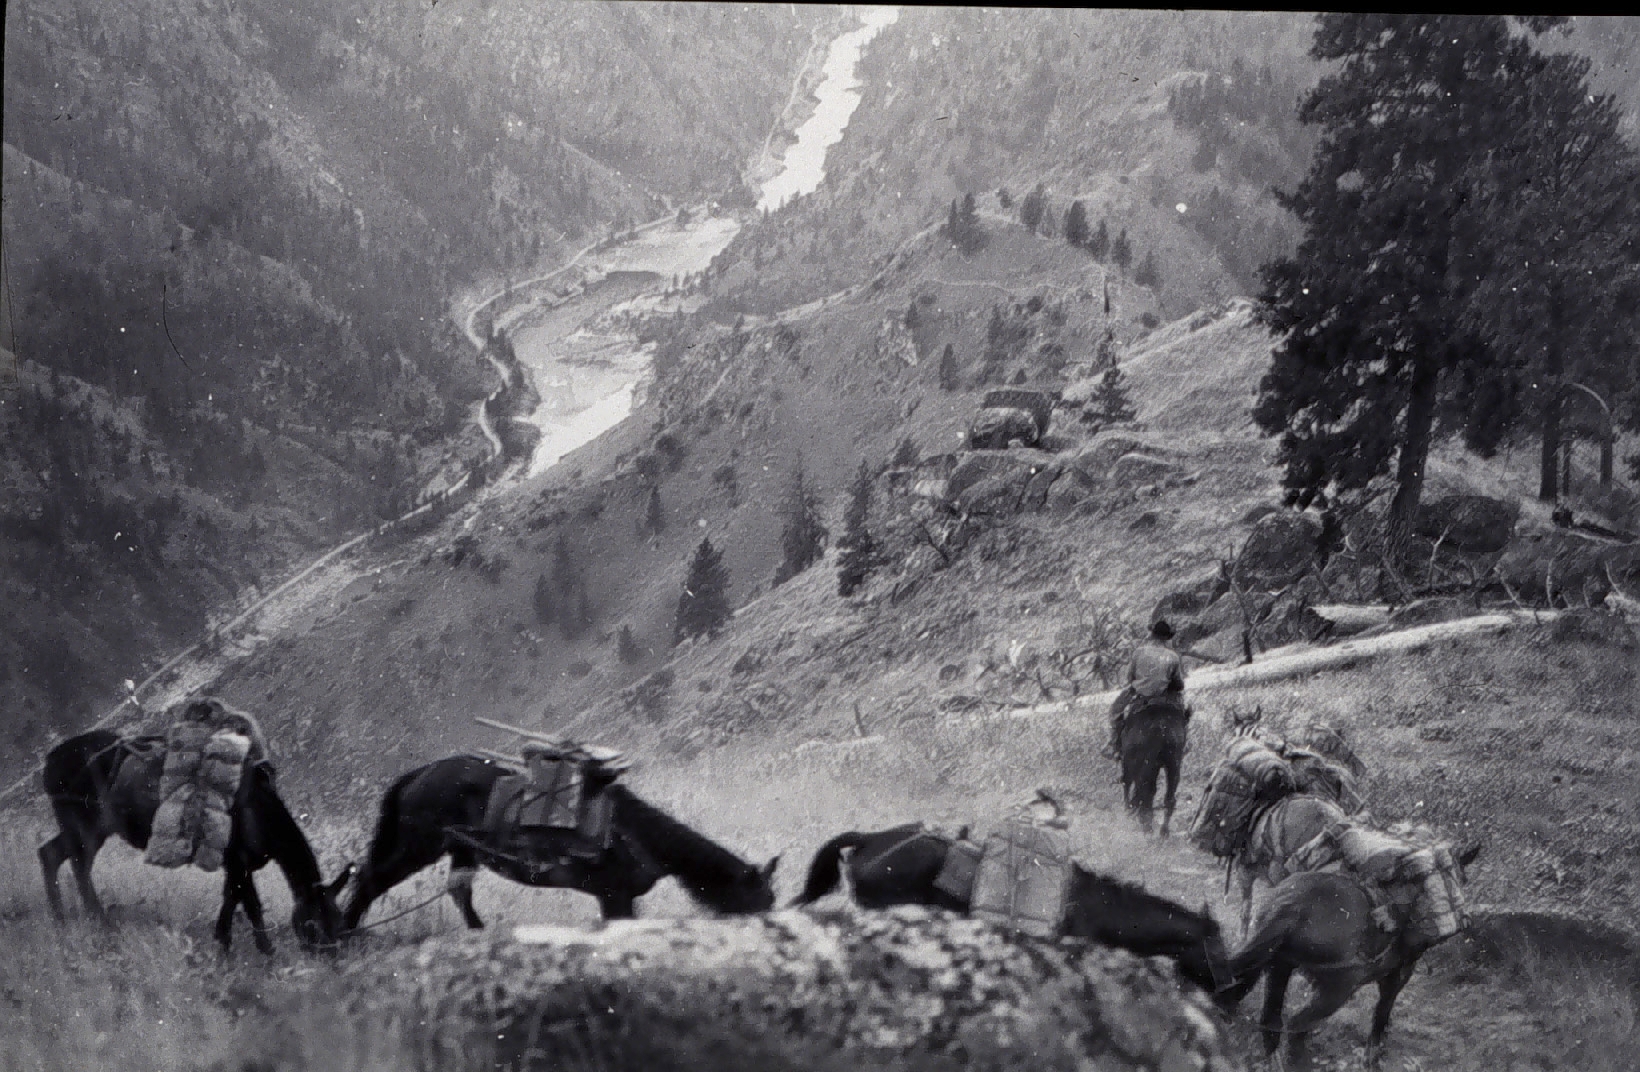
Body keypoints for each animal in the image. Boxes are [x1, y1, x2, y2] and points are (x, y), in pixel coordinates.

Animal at [39, 731, 350, 957]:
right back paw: (95, 920)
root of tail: (50, 762)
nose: (332, 959)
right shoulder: (236, 860)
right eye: (314, 924)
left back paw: (63, 918)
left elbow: (235, 899)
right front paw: (256, 951)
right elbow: (248, 904)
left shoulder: (238, 864)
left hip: (91, 830)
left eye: (339, 921)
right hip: (83, 827)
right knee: (74, 865)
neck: (260, 811)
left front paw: (231, 943)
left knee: (52, 855)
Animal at [342, 757, 777, 931]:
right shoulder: (614, 896)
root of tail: (419, 774)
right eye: (761, 900)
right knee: (368, 882)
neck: (634, 835)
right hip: (417, 847)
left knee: (458, 891)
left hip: (461, 851)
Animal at [1115, 704, 1193, 839]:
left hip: (1143, 765)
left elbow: (1128, 785)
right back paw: (1163, 832)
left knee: (1142, 791)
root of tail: (1161, 729)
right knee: (1168, 797)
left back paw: (1146, 826)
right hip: (1173, 763)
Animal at [1226, 852, 1482, 1068]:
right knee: (1296, 1026)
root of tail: (1292, 903)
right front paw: (1373, 1057)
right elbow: (1381, 1016)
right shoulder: (1398, 975)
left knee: (1270, 1020)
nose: (1463, 918)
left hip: (1279, 965)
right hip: (1337, 988)